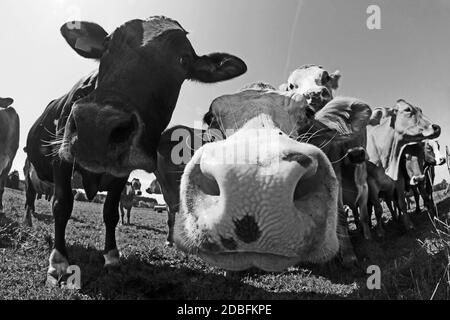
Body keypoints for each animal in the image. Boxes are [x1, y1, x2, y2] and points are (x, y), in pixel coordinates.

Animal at [25, 16, 246, 284]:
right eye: (107, 44)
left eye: (183, 60)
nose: (96, 126)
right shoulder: (61, 158)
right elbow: (62, 204)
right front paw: (58, 261)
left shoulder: (122, 172)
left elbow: (110, 212)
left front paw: (111, 256)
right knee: (29, 196)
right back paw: (27, 221)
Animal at [368, 100, 442, 230]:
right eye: (407, 110)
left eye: (420, 110)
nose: (436, 127)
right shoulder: (372, 185)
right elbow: (378, 209)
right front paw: (381, 231)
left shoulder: (402, 179)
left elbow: (406, 201)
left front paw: (410, 223)